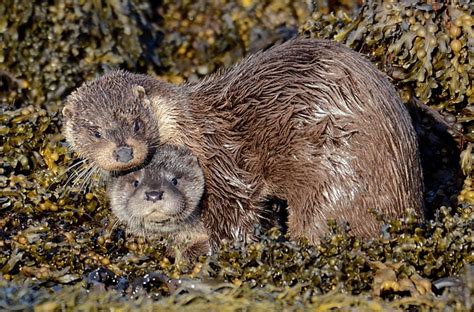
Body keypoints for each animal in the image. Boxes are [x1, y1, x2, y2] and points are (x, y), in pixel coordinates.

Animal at [62, 37, 422, 246]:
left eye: (136, 123)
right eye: (94, 131)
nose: (123, 150)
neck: (192, 129)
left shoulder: (225, 165)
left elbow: (236, 213)